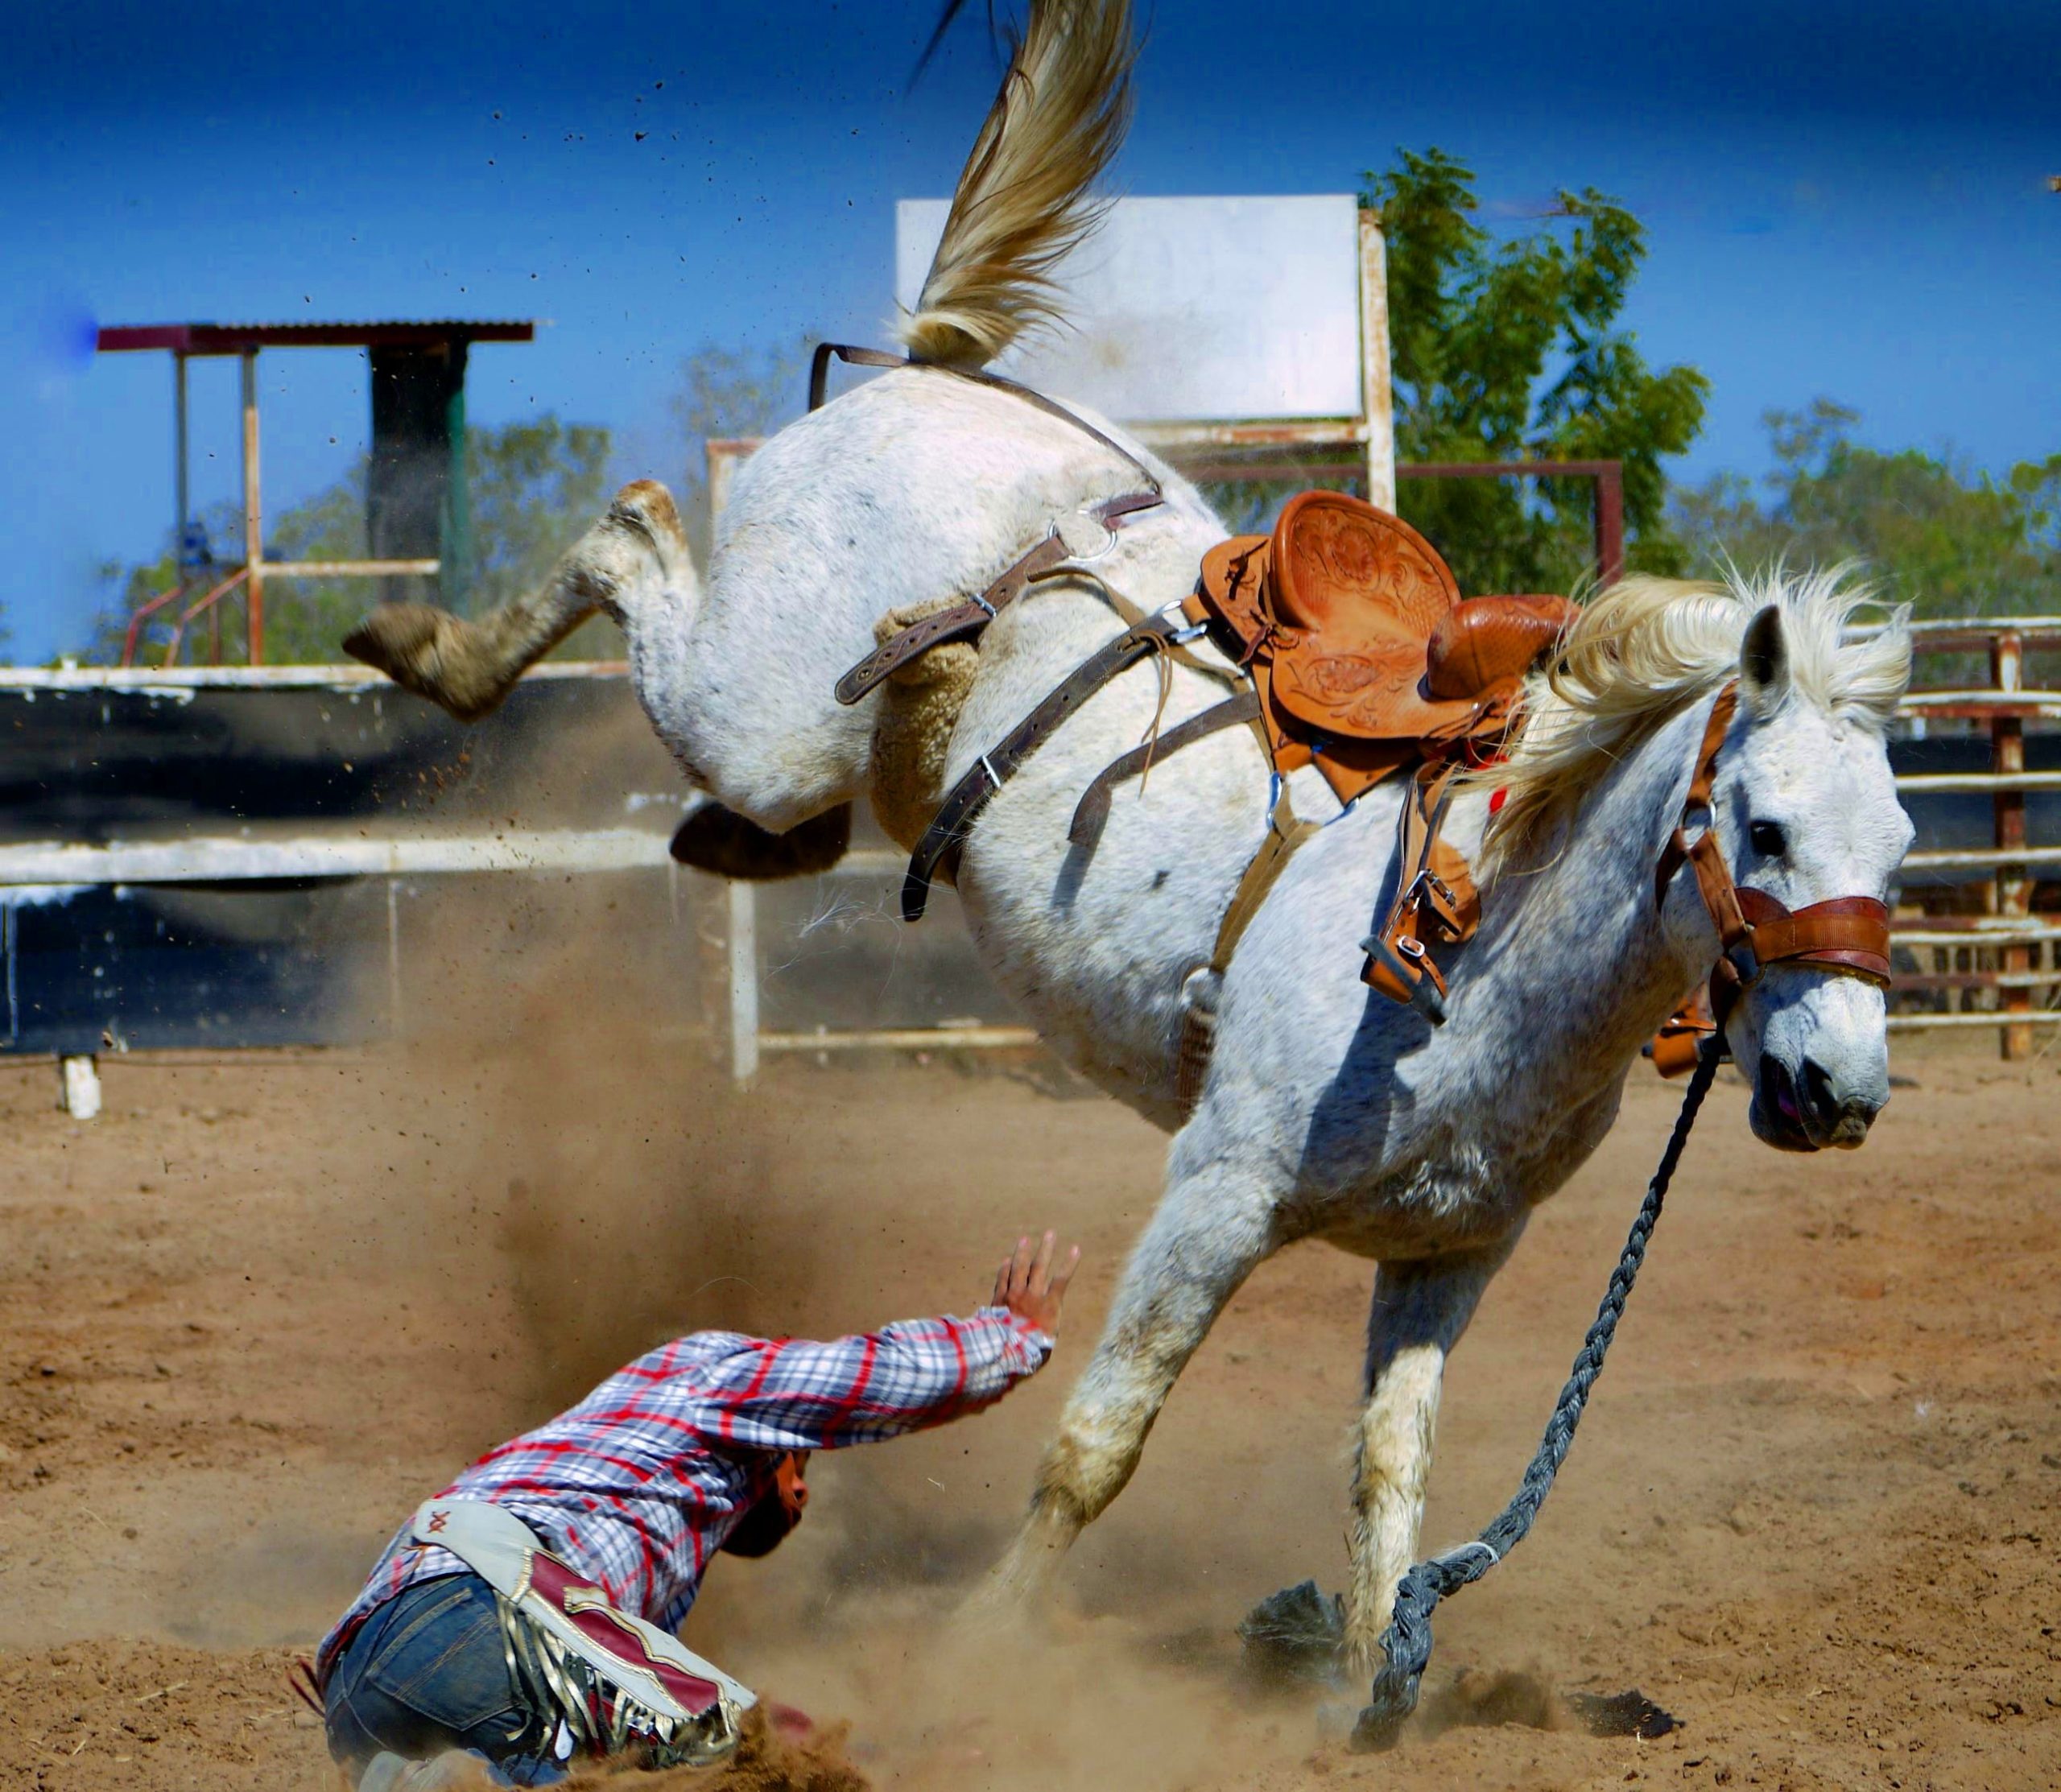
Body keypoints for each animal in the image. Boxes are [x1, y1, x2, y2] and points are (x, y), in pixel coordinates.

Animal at [346, 0, 1904, 1680]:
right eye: (1762, 825)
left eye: (1899, 845)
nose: (1842, 1089)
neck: (1479, 943)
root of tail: (934, 377)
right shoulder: (1213, 1197)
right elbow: (1099, 1442)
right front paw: (976, 1654)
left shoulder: (1448, 1257)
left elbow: (1389, 1482)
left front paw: (1365, 1689)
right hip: (754, 708)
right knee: (629, 528)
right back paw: (427, 645)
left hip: (805, 751)